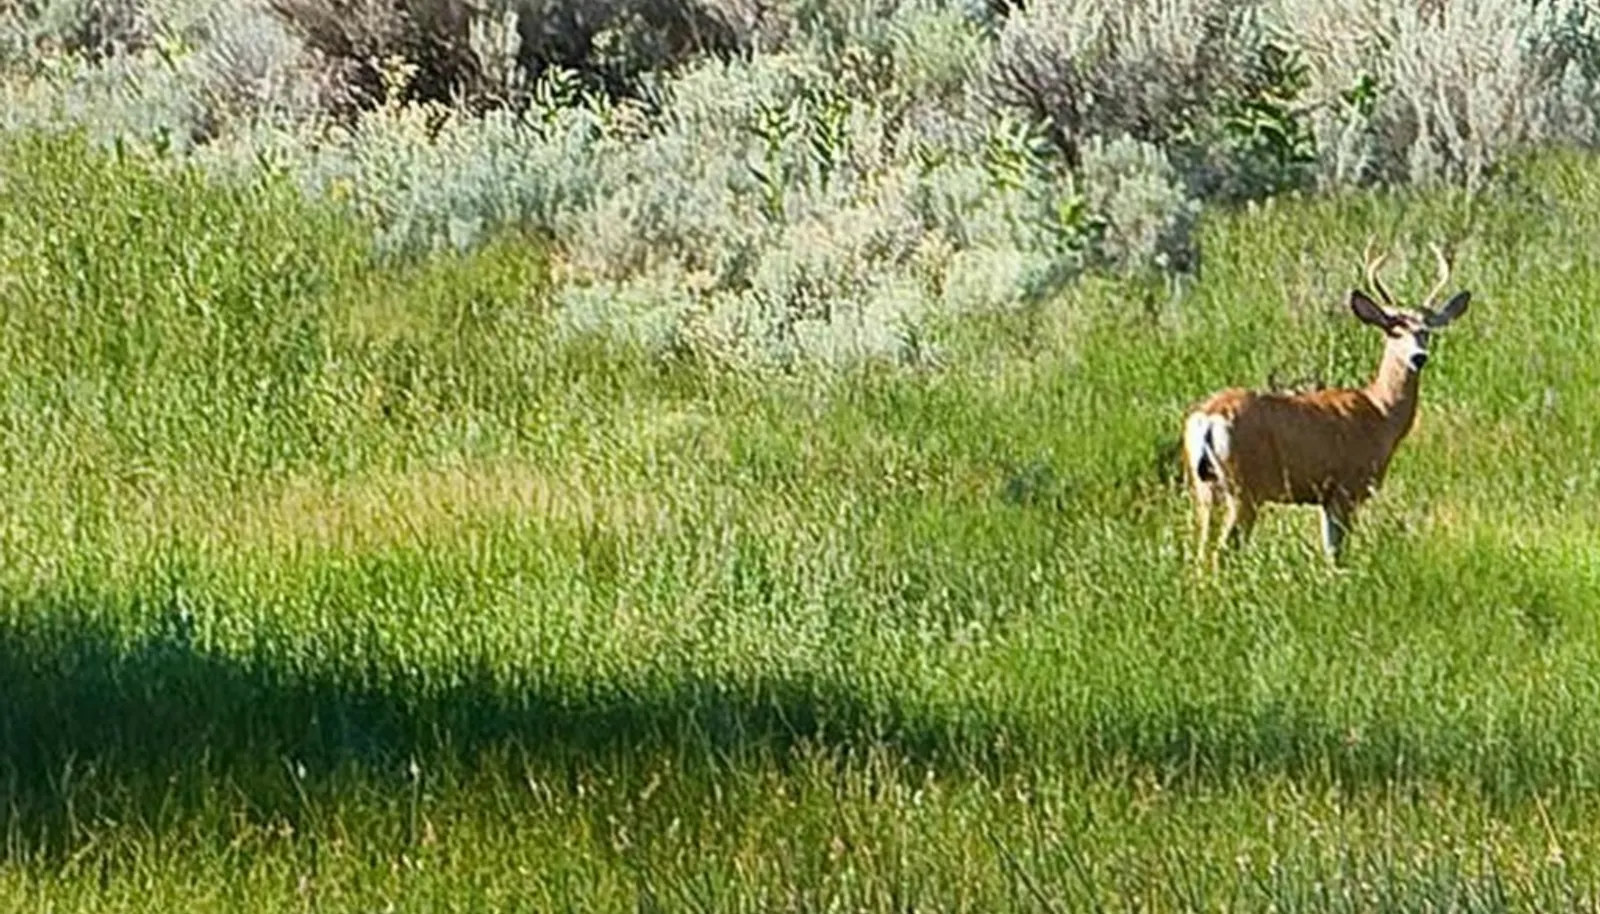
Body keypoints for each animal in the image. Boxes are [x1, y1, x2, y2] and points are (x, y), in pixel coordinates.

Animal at [1182, 239, 1471, 567]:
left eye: (1426, 332)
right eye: (1393, 331)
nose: (1418, 357)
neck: (1380, 413)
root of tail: (1209, 417)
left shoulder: (1325, 496)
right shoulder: (1346, 487)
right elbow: (1338, 554)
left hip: (1205, 488)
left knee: (1200, 553)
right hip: (1245, 488)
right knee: (1222, 552)